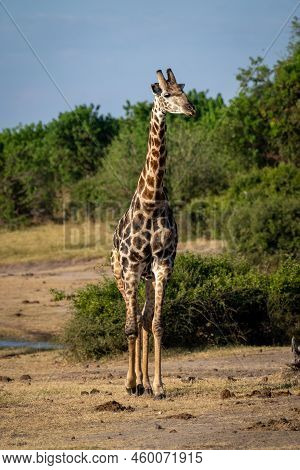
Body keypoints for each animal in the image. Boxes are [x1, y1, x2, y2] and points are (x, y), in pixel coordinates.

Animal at [111, 67, 196, 396]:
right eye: (167, 94)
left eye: (185, 91)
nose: (191, 109)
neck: (152, 201)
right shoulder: (132, 266)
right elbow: (130, 326)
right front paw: (129, 383)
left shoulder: (162, 265)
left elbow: (157, 324)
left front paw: (158, 386)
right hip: (120, 275)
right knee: (132, 319)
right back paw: (134, 382)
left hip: (147, 277)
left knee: (145, 319)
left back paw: (145, 383)